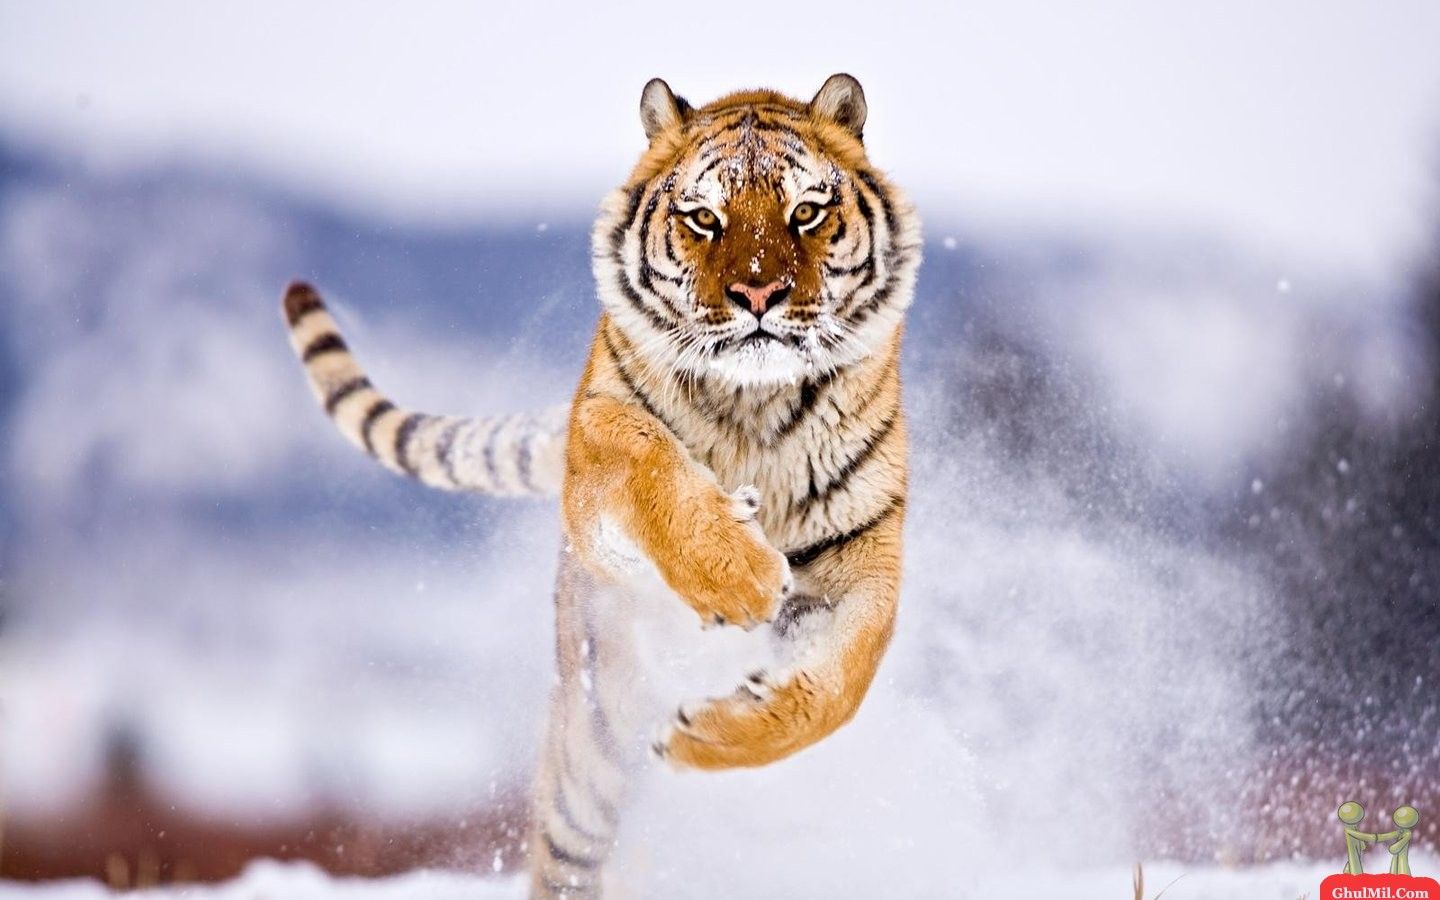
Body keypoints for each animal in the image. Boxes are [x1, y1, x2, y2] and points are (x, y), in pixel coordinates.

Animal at [280, 73, 921, 892]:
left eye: (805, 211)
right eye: (705, 218)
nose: (758, 295)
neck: (754, 404)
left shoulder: (863, 553)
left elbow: (840, 686)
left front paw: (702, 737)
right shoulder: (596, 454)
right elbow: (646, 457)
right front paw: (740, 574)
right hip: (591, 746)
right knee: (566, 851)